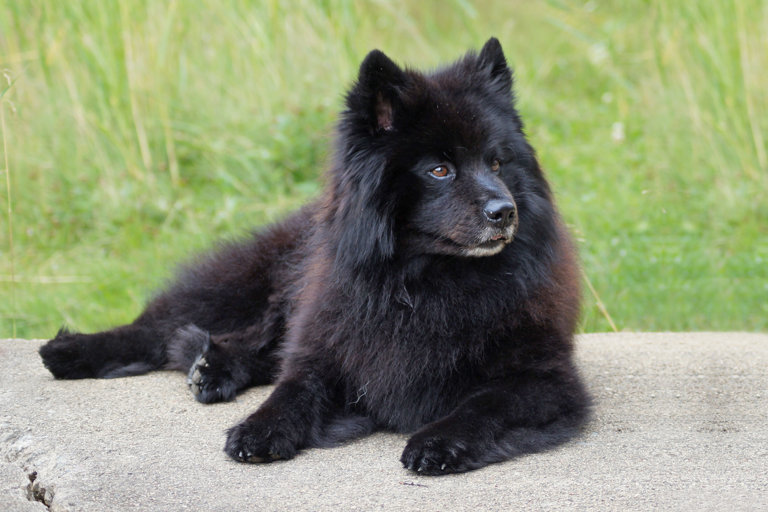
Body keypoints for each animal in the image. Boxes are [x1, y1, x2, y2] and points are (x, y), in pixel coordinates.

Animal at [40, 38, 588, 474]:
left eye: (497, 163)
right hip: (247, 284)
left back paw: (211, 367)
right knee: (163, 328)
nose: (504, 211)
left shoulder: (543, 380)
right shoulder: (325, 349)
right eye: (439, 170)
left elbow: (482, 407)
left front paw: (438, 441)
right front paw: (259, 429)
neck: (424, 283)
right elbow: (292, 390)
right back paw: (75, 351)